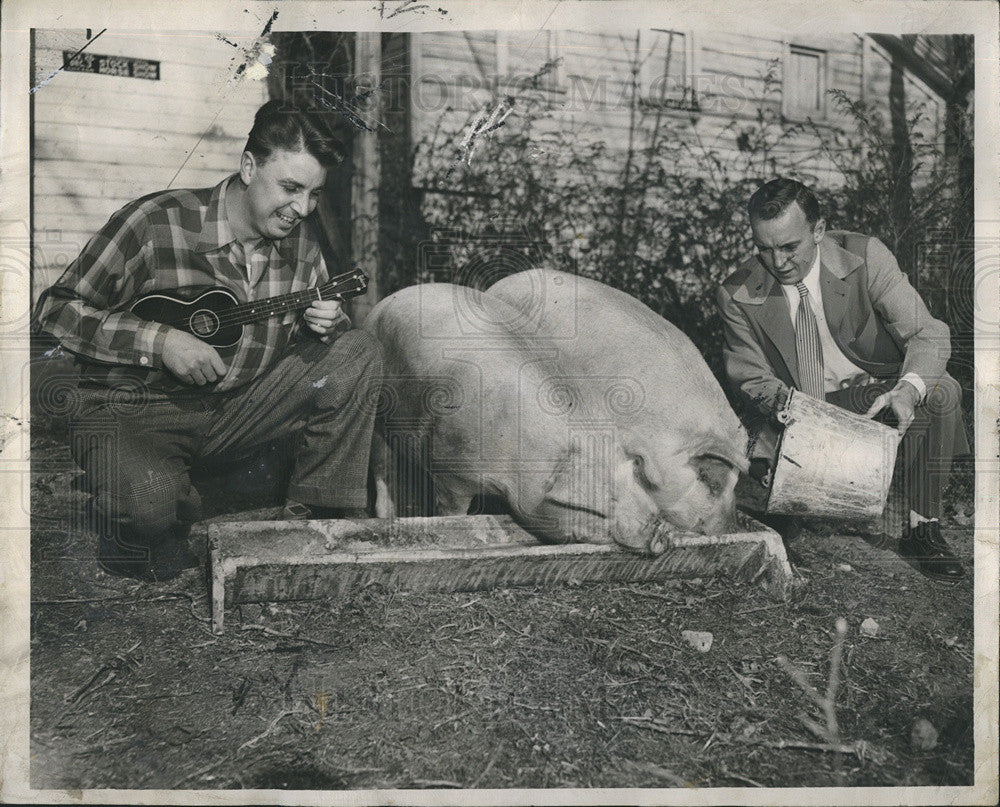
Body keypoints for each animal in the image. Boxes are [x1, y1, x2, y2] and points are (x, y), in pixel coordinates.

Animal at [364, 284, 668, 556]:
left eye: (636, 484)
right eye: (607, 501)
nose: (661, 532)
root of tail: (382, 304)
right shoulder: (451, 469)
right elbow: (452, 510)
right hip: (378, 418)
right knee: (382, 468)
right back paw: (385, 516)